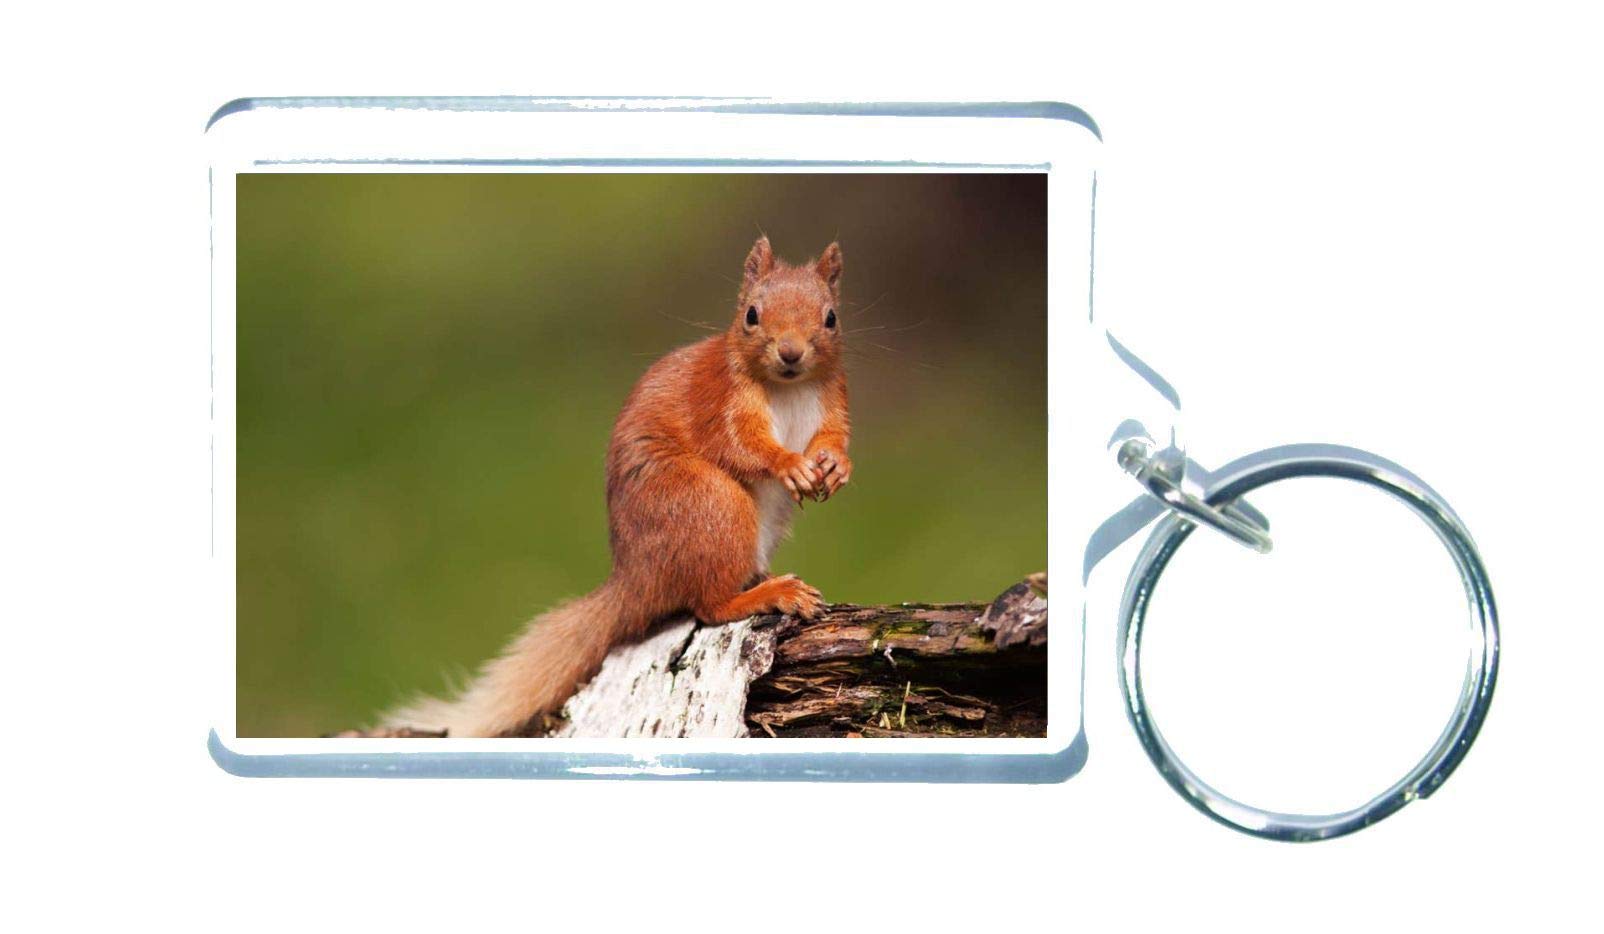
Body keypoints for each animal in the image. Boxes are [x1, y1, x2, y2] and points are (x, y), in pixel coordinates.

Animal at [385, 237, 852, 737]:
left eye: (831, 317)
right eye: (751, 314)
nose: (790, 353)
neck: (788, 388)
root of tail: (636, 578)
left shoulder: (832, 400)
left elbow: (834, 438)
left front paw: (836, 467)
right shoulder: (719, 400)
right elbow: (740, 445)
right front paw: (789, 463)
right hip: (710, 502)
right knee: (708, 605)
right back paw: (770, 594)